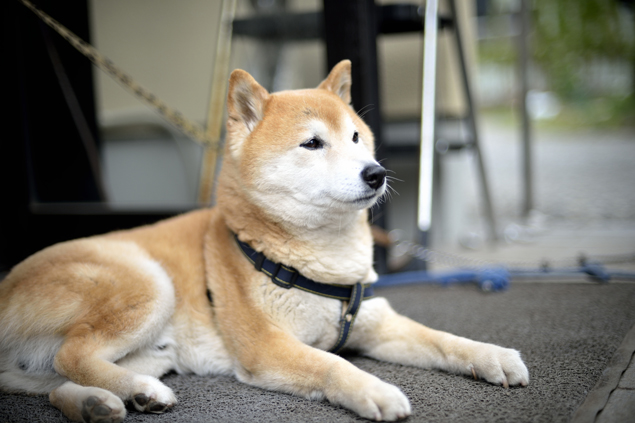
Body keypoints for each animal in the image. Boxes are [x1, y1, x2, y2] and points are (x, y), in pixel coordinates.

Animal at [0, 60, 528, 423]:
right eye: (313, 143)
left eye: (357, 138)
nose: (376, 173)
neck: (323, 260)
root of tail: (5, 285)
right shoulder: (266, 347)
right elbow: (333, 366)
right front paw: (376, 390)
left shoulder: (377, 324)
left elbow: (444, 340)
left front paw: (493, 356)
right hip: (149, 284)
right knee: (72, 355)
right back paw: (134, 391)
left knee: (59, 381)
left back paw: (112, 399)